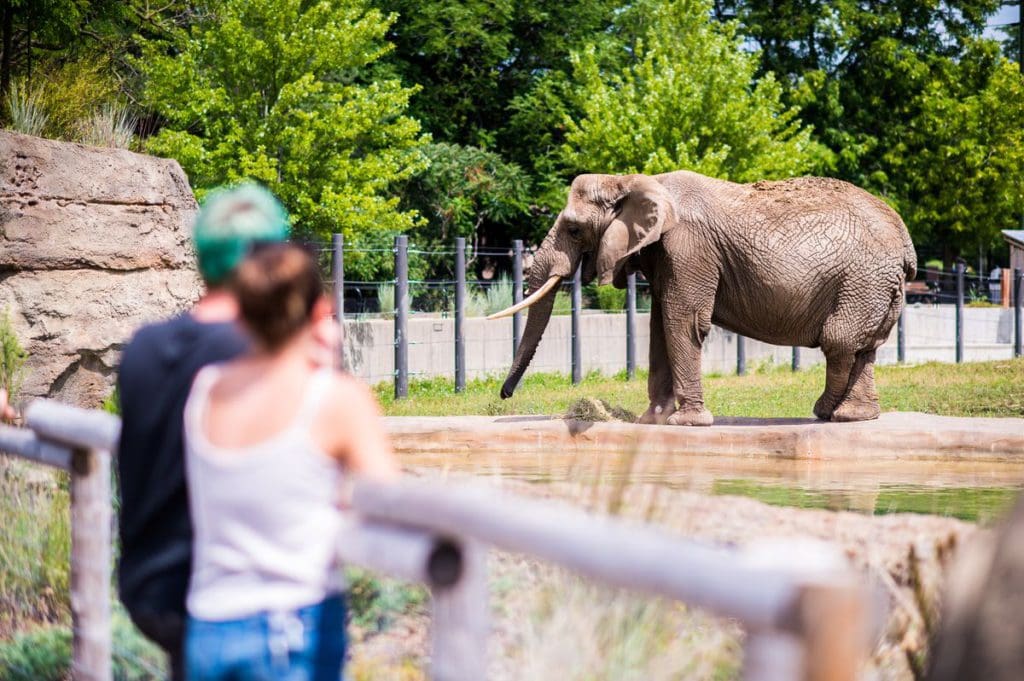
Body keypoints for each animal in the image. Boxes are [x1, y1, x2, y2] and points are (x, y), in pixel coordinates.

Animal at [489, 171, 921, 426]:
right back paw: (854, 417)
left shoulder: (688, 247)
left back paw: (826, 412)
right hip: (875, 285)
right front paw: (650, 422)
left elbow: (682, 320)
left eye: (575, 229)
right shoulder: (666, 254)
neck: (634, 179)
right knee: (864, 346)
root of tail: (906, 242)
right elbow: (659, 324)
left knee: (840, 340)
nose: (504, 396)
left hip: (863, 278)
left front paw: (686, 424)